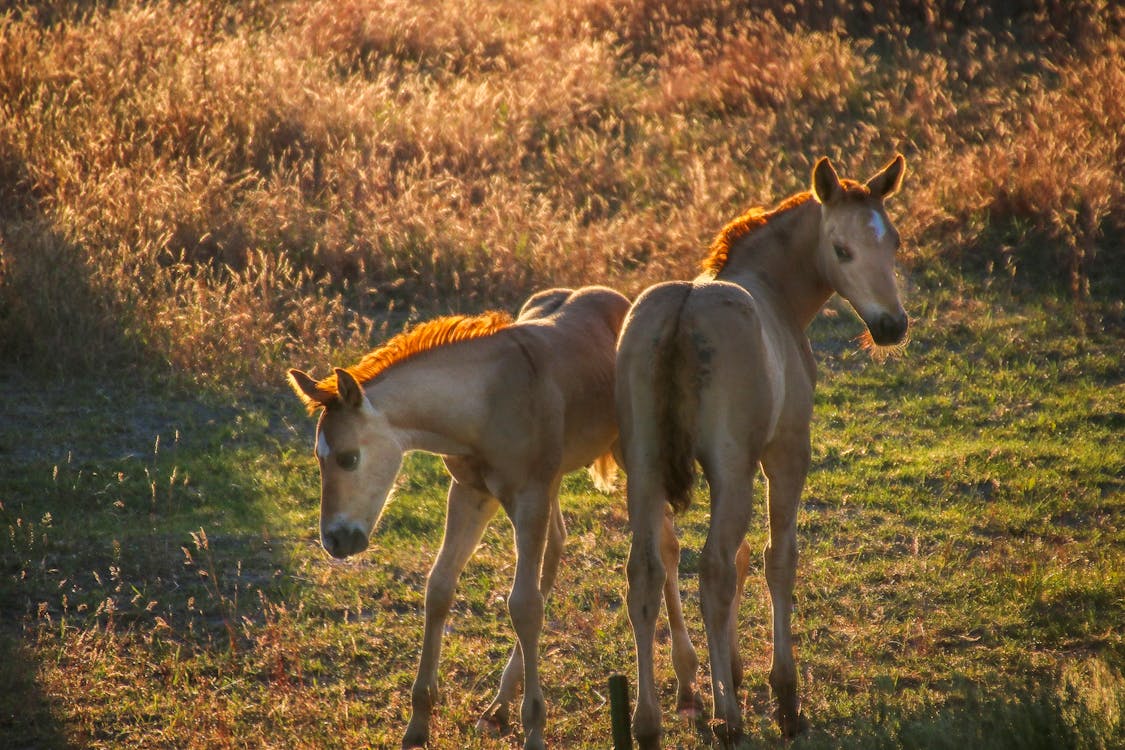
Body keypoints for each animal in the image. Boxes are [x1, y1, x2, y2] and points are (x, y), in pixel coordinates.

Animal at [288, 287, 625, 750]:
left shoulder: (529, 496)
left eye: (348, 457)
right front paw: (418, 722)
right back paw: (499, 706)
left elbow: (524, 606)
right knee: (556, 545)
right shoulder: (470, 493)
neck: (486, 402)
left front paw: (534, 727)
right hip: (549, 486)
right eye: (318, 458)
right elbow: (439, 588)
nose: (336, 541)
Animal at [616, 155, 913, 746]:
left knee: (646, 575)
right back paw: (728, 720)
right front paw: (784, 695)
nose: (892, 326)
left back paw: (648, 723)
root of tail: (681, 315)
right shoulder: (784, 453)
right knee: (712, 573)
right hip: (731, 470)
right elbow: (779, 558)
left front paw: (731, 669)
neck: (773, 292)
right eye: (842, 249)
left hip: (644, 469)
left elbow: (743, 556)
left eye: (892, 241)